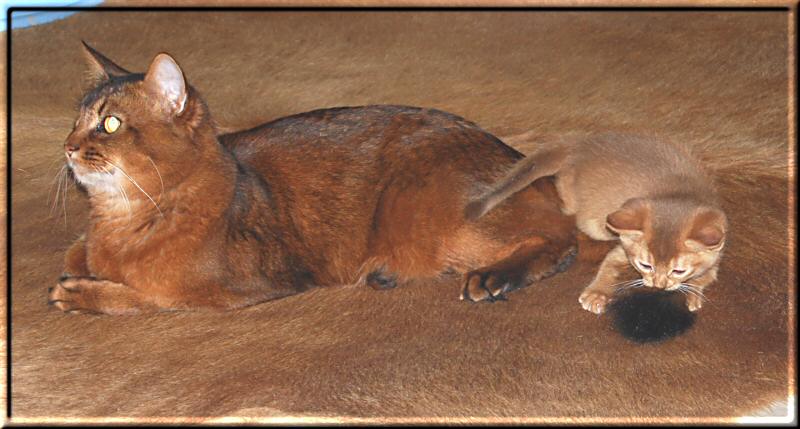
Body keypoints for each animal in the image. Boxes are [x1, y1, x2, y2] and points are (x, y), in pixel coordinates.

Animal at [47, 43, 580, 314]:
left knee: (561, 240)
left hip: (434, 212)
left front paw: (77, 292)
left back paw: (495, 276)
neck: (122, 217)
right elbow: (77, 254)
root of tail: (520, 160)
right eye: (76, 120)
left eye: (109, 124)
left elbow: (146, 298)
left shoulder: (234, 290)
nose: (68, 146)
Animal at [462, 132, 732, 312]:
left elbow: (707, 276)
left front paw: (694, 293)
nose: (658, 285)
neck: (678, 192)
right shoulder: (624, 246)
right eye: (645, 265)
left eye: (678, 270)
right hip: (593, 220)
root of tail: (579, 144)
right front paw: (596, 293)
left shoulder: (715, 256)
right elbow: (609, 265)